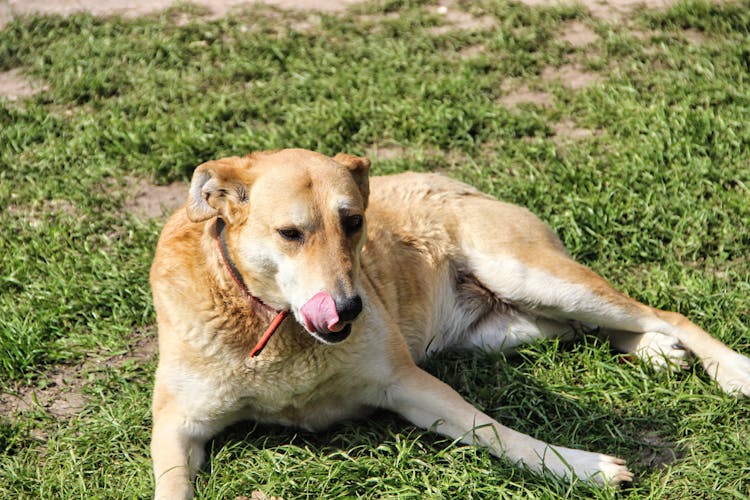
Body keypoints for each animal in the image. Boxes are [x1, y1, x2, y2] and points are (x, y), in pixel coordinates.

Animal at [148, 146, 750, 498]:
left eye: (354, 222)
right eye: (290, 234)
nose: (352, 308)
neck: (270, 322)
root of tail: (457, 181)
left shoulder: (406, 383)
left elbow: (501, 434)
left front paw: (584, 468)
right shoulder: (175, 424)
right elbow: (171, 486)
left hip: (532, 277)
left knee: (665, 313)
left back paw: (732, 370)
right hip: (508, 328)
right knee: (588, 328)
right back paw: (655, 349)